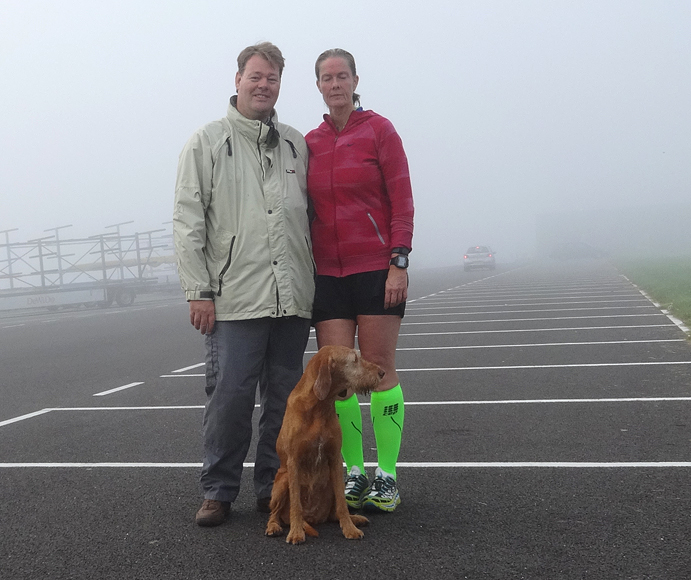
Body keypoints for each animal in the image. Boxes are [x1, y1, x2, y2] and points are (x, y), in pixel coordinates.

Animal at [265, 345, 384, 544]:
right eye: (355, 359)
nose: (382, 372)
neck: (319, 406)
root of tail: (314, 518)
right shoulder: (293, 462)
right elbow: (295, 503)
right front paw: (296, 532)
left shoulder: (335, 459)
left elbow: (342, 503)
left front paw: (349, 529)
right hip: (282, 481)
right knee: (274, 513)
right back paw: (275, 526)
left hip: (330, 480)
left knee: (334, 513)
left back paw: (355, 519)